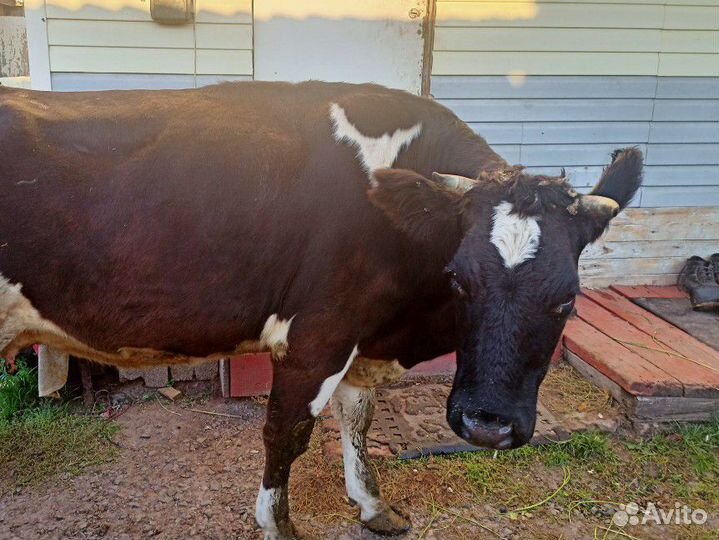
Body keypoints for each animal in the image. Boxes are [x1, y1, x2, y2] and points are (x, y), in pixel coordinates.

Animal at [0, 81, 642, 539]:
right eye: (459, 279)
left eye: (568, 297)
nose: (488, 424)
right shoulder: (318, 335)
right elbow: (286, 433)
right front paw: (279, 526)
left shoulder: (361, 336)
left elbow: (357, 418)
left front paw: (374, 506)